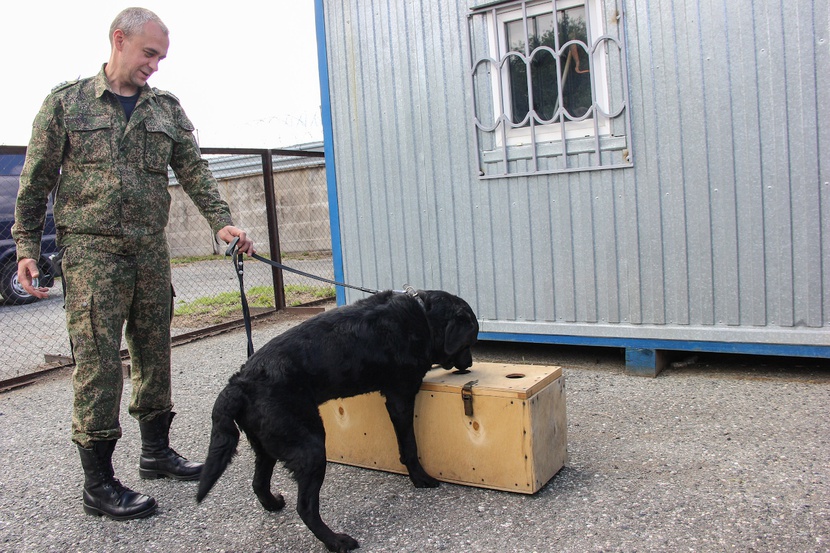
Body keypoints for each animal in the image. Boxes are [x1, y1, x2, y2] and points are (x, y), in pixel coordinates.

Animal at [197, 289, 479, 552]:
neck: (422, 316)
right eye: (470, 341)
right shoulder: (400, 396)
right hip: (310, 446)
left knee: (258, 483)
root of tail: (239, 382)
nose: (469, 364)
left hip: (267, 445)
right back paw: (336, 541)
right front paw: (420, 478)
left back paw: (274, 504)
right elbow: (409, 445)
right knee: (305, 507)